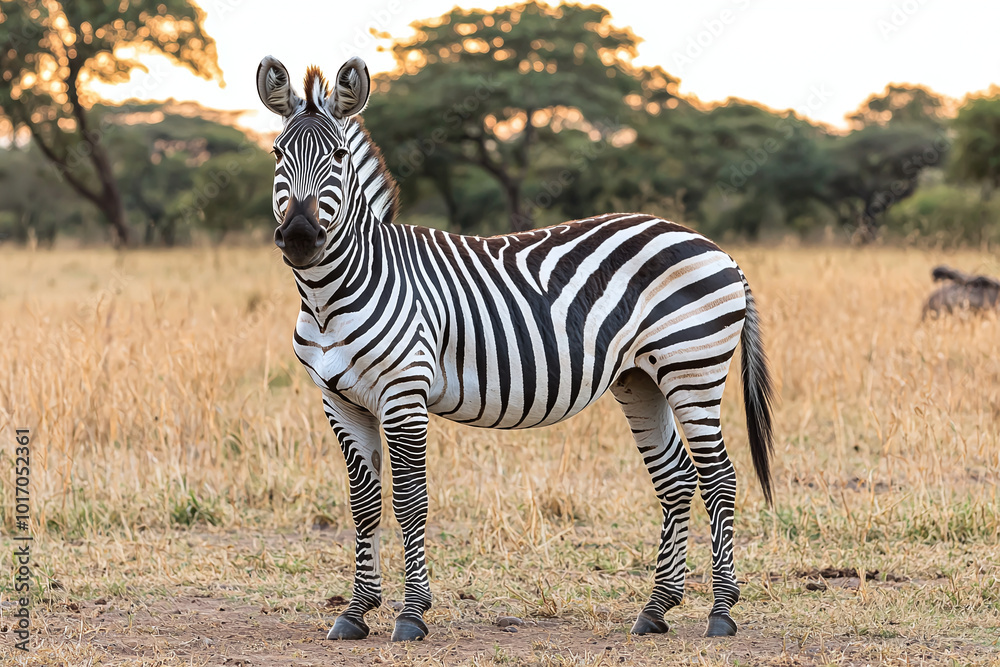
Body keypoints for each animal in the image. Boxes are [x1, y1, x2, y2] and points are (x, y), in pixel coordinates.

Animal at [256, 55, 775, 643]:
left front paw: (412, 615)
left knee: (719, 479)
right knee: (678, 479)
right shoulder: (339, 400)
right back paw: (656, 609)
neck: (331, 294)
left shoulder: (404, 395)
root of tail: (716, 248)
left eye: (339, 157)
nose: (300, 237)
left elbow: (410, 501)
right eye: (276, 154)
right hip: (641, 380)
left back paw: (722, 612)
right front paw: (356, 611)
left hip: (693, 368)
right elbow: (364, 506)